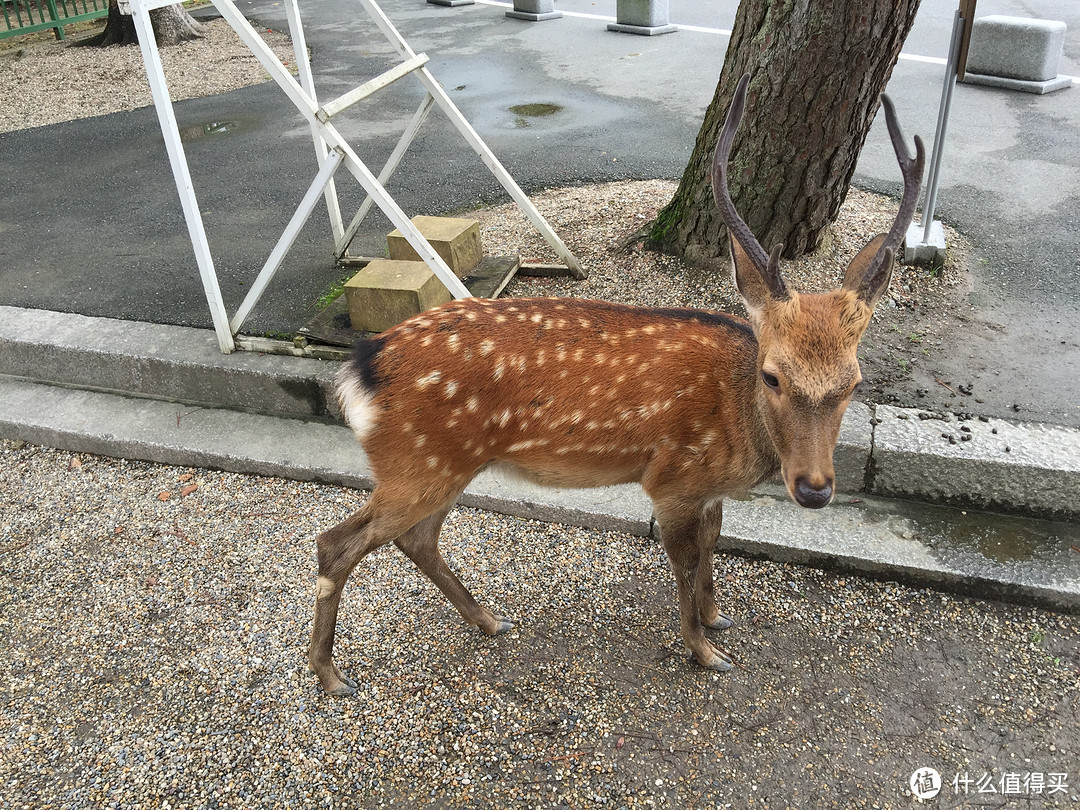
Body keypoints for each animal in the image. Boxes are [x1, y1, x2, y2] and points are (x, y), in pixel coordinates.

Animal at [308, 74, 924, 699]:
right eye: (772, 374)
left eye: (855, 381)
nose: (816, 489)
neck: (737, 427)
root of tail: (360, 366)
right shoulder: (670, 480)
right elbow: (683, 565)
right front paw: (706, 652)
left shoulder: (706, 490)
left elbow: (713, 545)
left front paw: (716, 616)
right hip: (417, 463)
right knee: (336, 543)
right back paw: (330, 675)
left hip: (444, 466)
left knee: (417, 539)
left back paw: (487, 620)